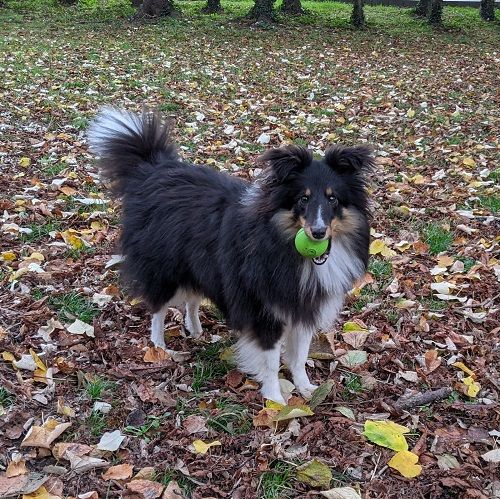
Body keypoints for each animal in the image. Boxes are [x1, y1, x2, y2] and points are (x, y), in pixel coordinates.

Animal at [88, 107, 374, 404]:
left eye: (333, 199)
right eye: (303, 199)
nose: (317, 233)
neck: (285, 248)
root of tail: (153, 168)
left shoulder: (304, 307)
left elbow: (299, 356)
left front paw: (306, 388)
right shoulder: (265, 311)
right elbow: (271, 361)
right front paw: (275, 400)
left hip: (201, 266)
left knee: (192, 299)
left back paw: (195, 329)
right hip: (165, 270)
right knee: (158, 308)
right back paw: (159, 346)